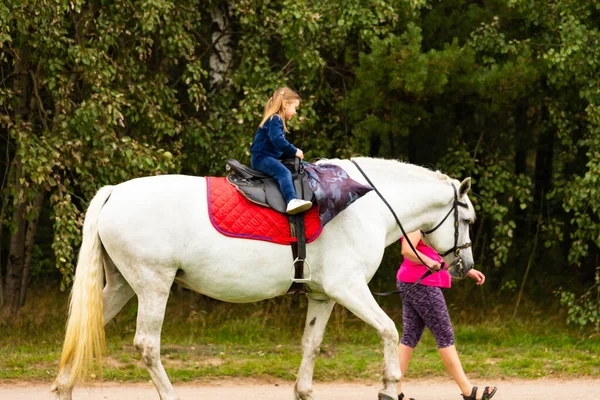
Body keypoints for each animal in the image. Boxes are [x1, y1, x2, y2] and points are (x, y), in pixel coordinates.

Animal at [51, 157, 474, 400]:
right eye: (467, 218)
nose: (464, 266)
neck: (364, 204)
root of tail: (114, 193)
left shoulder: (323, 296)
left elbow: (311, 345)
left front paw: (304, 391)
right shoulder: (349, 289)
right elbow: (388, 330)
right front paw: (389, 384)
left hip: (121, 287)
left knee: (83, 332)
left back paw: (63, 388)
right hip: (153, 286)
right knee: (147, 346)